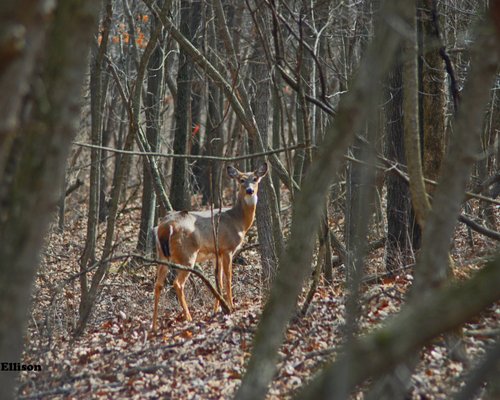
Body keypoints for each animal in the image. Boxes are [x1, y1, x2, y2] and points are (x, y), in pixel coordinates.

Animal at [152, 162, 270, 332]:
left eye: (255, 178)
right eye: (241, 180)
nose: (250, 190)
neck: (238, 221)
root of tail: (165, 226)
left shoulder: (217, 253)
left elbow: (218, 279)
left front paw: (217, 309)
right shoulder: (227, 248)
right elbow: (228, 278)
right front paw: (231, 307)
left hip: (162, 254)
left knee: (158, 284)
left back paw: (154, 325)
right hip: (187, 254)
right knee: (177, 283)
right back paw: (188, 317)